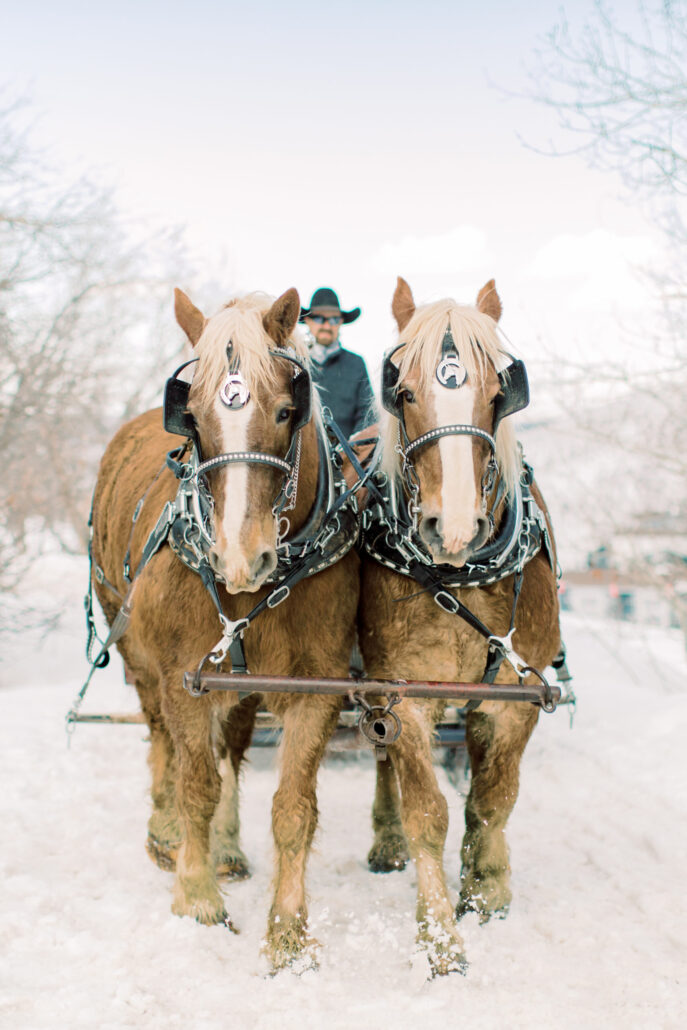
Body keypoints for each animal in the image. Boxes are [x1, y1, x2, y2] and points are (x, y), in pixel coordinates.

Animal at [91, 288, 359, 970]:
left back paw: (228, 847)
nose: (240, 559)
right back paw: (166, 835)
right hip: (134, 651)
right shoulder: (183, 678)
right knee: (163, 741)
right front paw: (196, 897)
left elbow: (293, 807)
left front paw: (288, 929)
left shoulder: (315, 686)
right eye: (189, 419)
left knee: (232, 749)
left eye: (288, 411)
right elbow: (195, 783)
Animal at [357, 276, 561, 974]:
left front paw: (487, 887)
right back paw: (387, 840)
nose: (453, 529)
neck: (459, 576)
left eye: (499, 394)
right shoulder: (403, 695)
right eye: (403, 392)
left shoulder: (515, 697)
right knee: (384, 759)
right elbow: (427, 811)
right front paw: (440, 935)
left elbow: (493, 799)